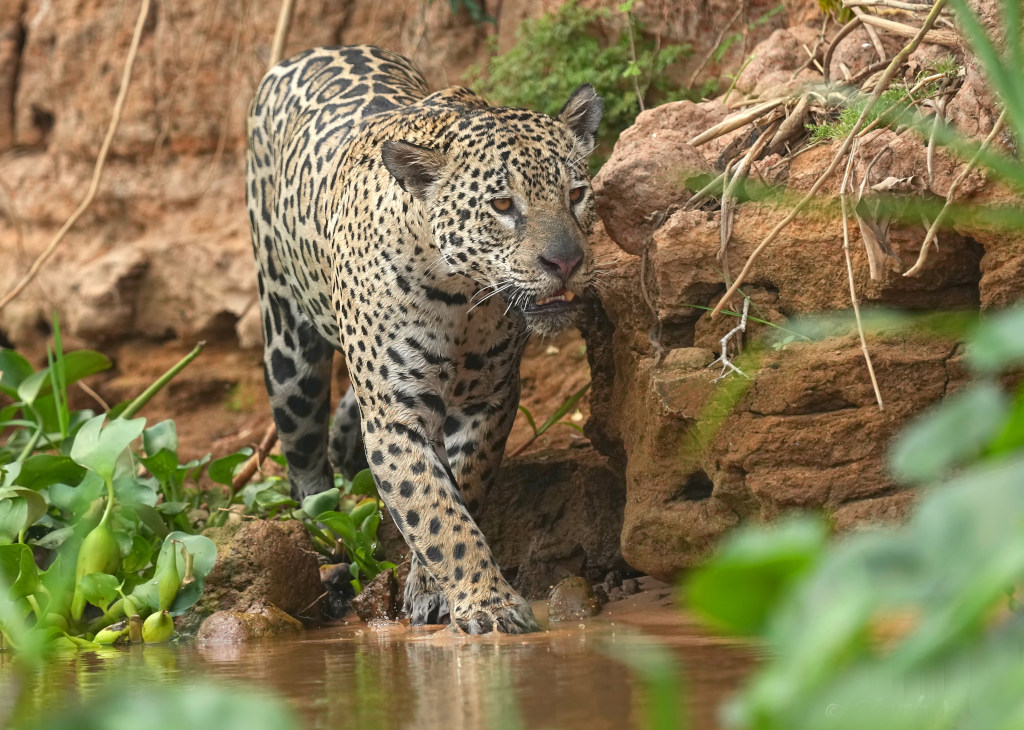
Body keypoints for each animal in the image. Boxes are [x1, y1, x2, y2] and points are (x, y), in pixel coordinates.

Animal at [246, 45, 603, 634]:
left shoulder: (490, 400)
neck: (459, 296)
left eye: (576, 195)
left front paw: (431, 589)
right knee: (303, 458)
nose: (566, 262)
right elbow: (436, 511)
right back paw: (323, 532)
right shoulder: (397, 415)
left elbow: (460, 489)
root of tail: (310, 51)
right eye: (502, 206)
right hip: (287, 350)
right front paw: (488, 602)